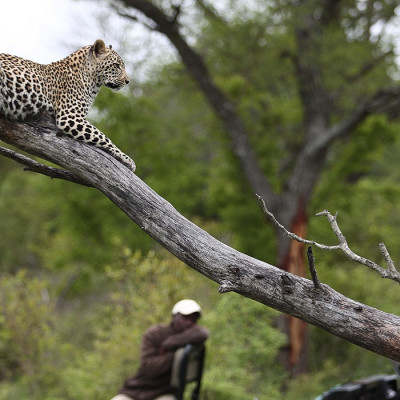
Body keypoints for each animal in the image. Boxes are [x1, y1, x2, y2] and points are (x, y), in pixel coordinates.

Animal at [0, 39, 136, 171]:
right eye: (117, 66)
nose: (127, 81)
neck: (92, 82)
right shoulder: (70, 116)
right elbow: (103, 137)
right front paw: (127, 159)